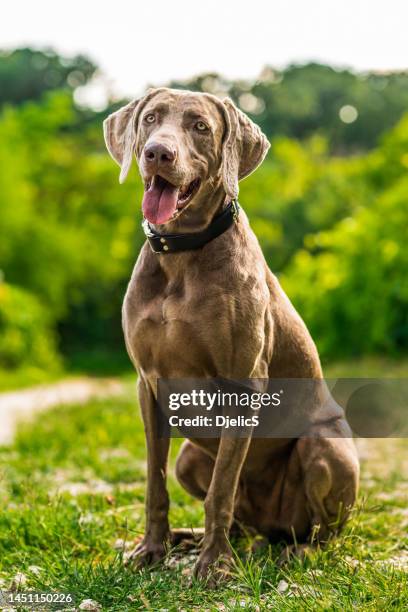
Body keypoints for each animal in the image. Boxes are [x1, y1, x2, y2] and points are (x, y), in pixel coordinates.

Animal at [103, 89, 358, 584]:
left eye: (200, 126)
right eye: (150, 119)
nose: (157, 153)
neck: (182, 254)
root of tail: (271, 527)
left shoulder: (243, 384)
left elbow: (221, 489)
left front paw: (215, 566)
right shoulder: (148, 384)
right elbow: (154, 483)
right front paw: (151, 549)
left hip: (326, 447)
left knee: (321, 532)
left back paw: (296, 551)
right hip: (189, 457)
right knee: (235, 513)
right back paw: (192, 538)